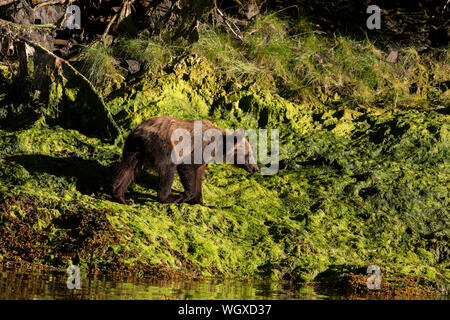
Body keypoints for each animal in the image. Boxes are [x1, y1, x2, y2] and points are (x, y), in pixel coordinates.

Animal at [110, 116, 258, 206]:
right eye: (248, 154)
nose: (255, 168)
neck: (218, 146)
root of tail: (139, 133)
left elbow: (199, 176)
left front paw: (203, 202)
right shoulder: (197, 148)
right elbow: (187, 168)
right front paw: (185, 195)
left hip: (133, 149)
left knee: (128, 169)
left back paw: (122, 197)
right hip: (161, 146)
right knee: (168, 169)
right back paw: (170, 197)